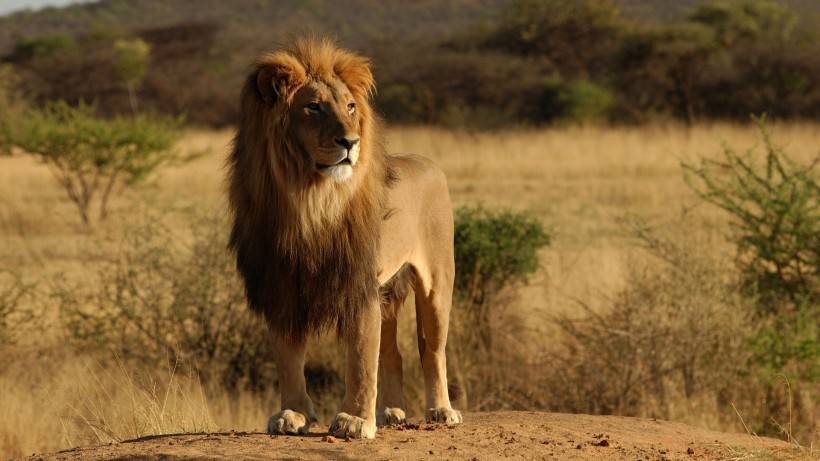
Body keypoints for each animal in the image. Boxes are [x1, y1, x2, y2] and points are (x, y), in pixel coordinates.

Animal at [227, 37, 464, 436]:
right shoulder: (281, 285)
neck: (309, 200)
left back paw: (441, 410)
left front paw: (354, 419)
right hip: (388, 292)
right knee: (393, 353)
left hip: (436, 282)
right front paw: (293, 413)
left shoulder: (358, 284)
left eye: (350, 107)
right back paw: (391, 412)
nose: (350, 142)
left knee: (432, 350)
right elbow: (288, 357)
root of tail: (427, 162)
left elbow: (360, 358)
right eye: (313, 107)